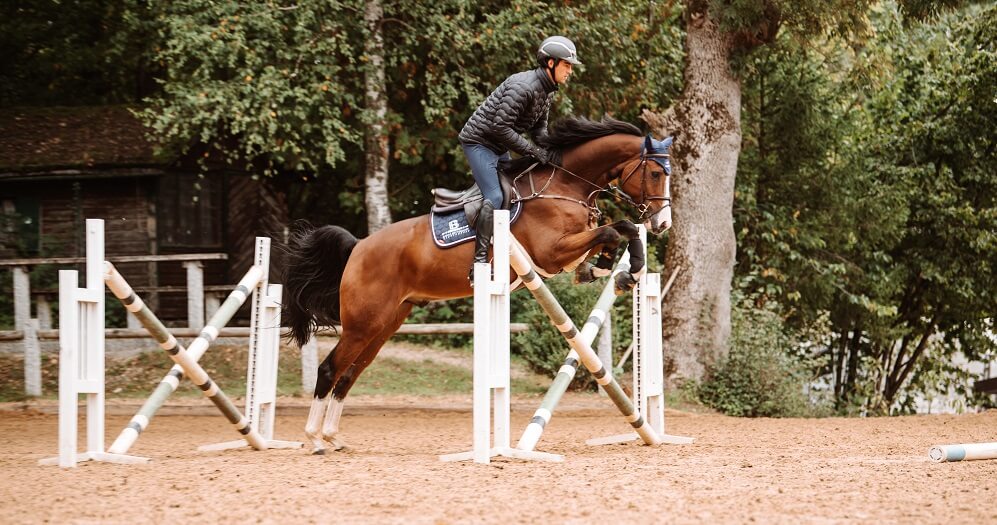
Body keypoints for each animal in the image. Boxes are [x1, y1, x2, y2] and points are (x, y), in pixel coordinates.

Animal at [284, 116, 672, 452]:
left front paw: (619, 271)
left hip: (384, 325)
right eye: (655, 173)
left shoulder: (568, 249)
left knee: (349, 373)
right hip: (363, 324)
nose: (663, 223)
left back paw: (333, 436)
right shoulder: (551, 253)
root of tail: (359, 247)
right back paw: (314, 439)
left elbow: (620, 228)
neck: (563, 185)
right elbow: (612, 230)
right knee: (330, 369)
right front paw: (614, 268)